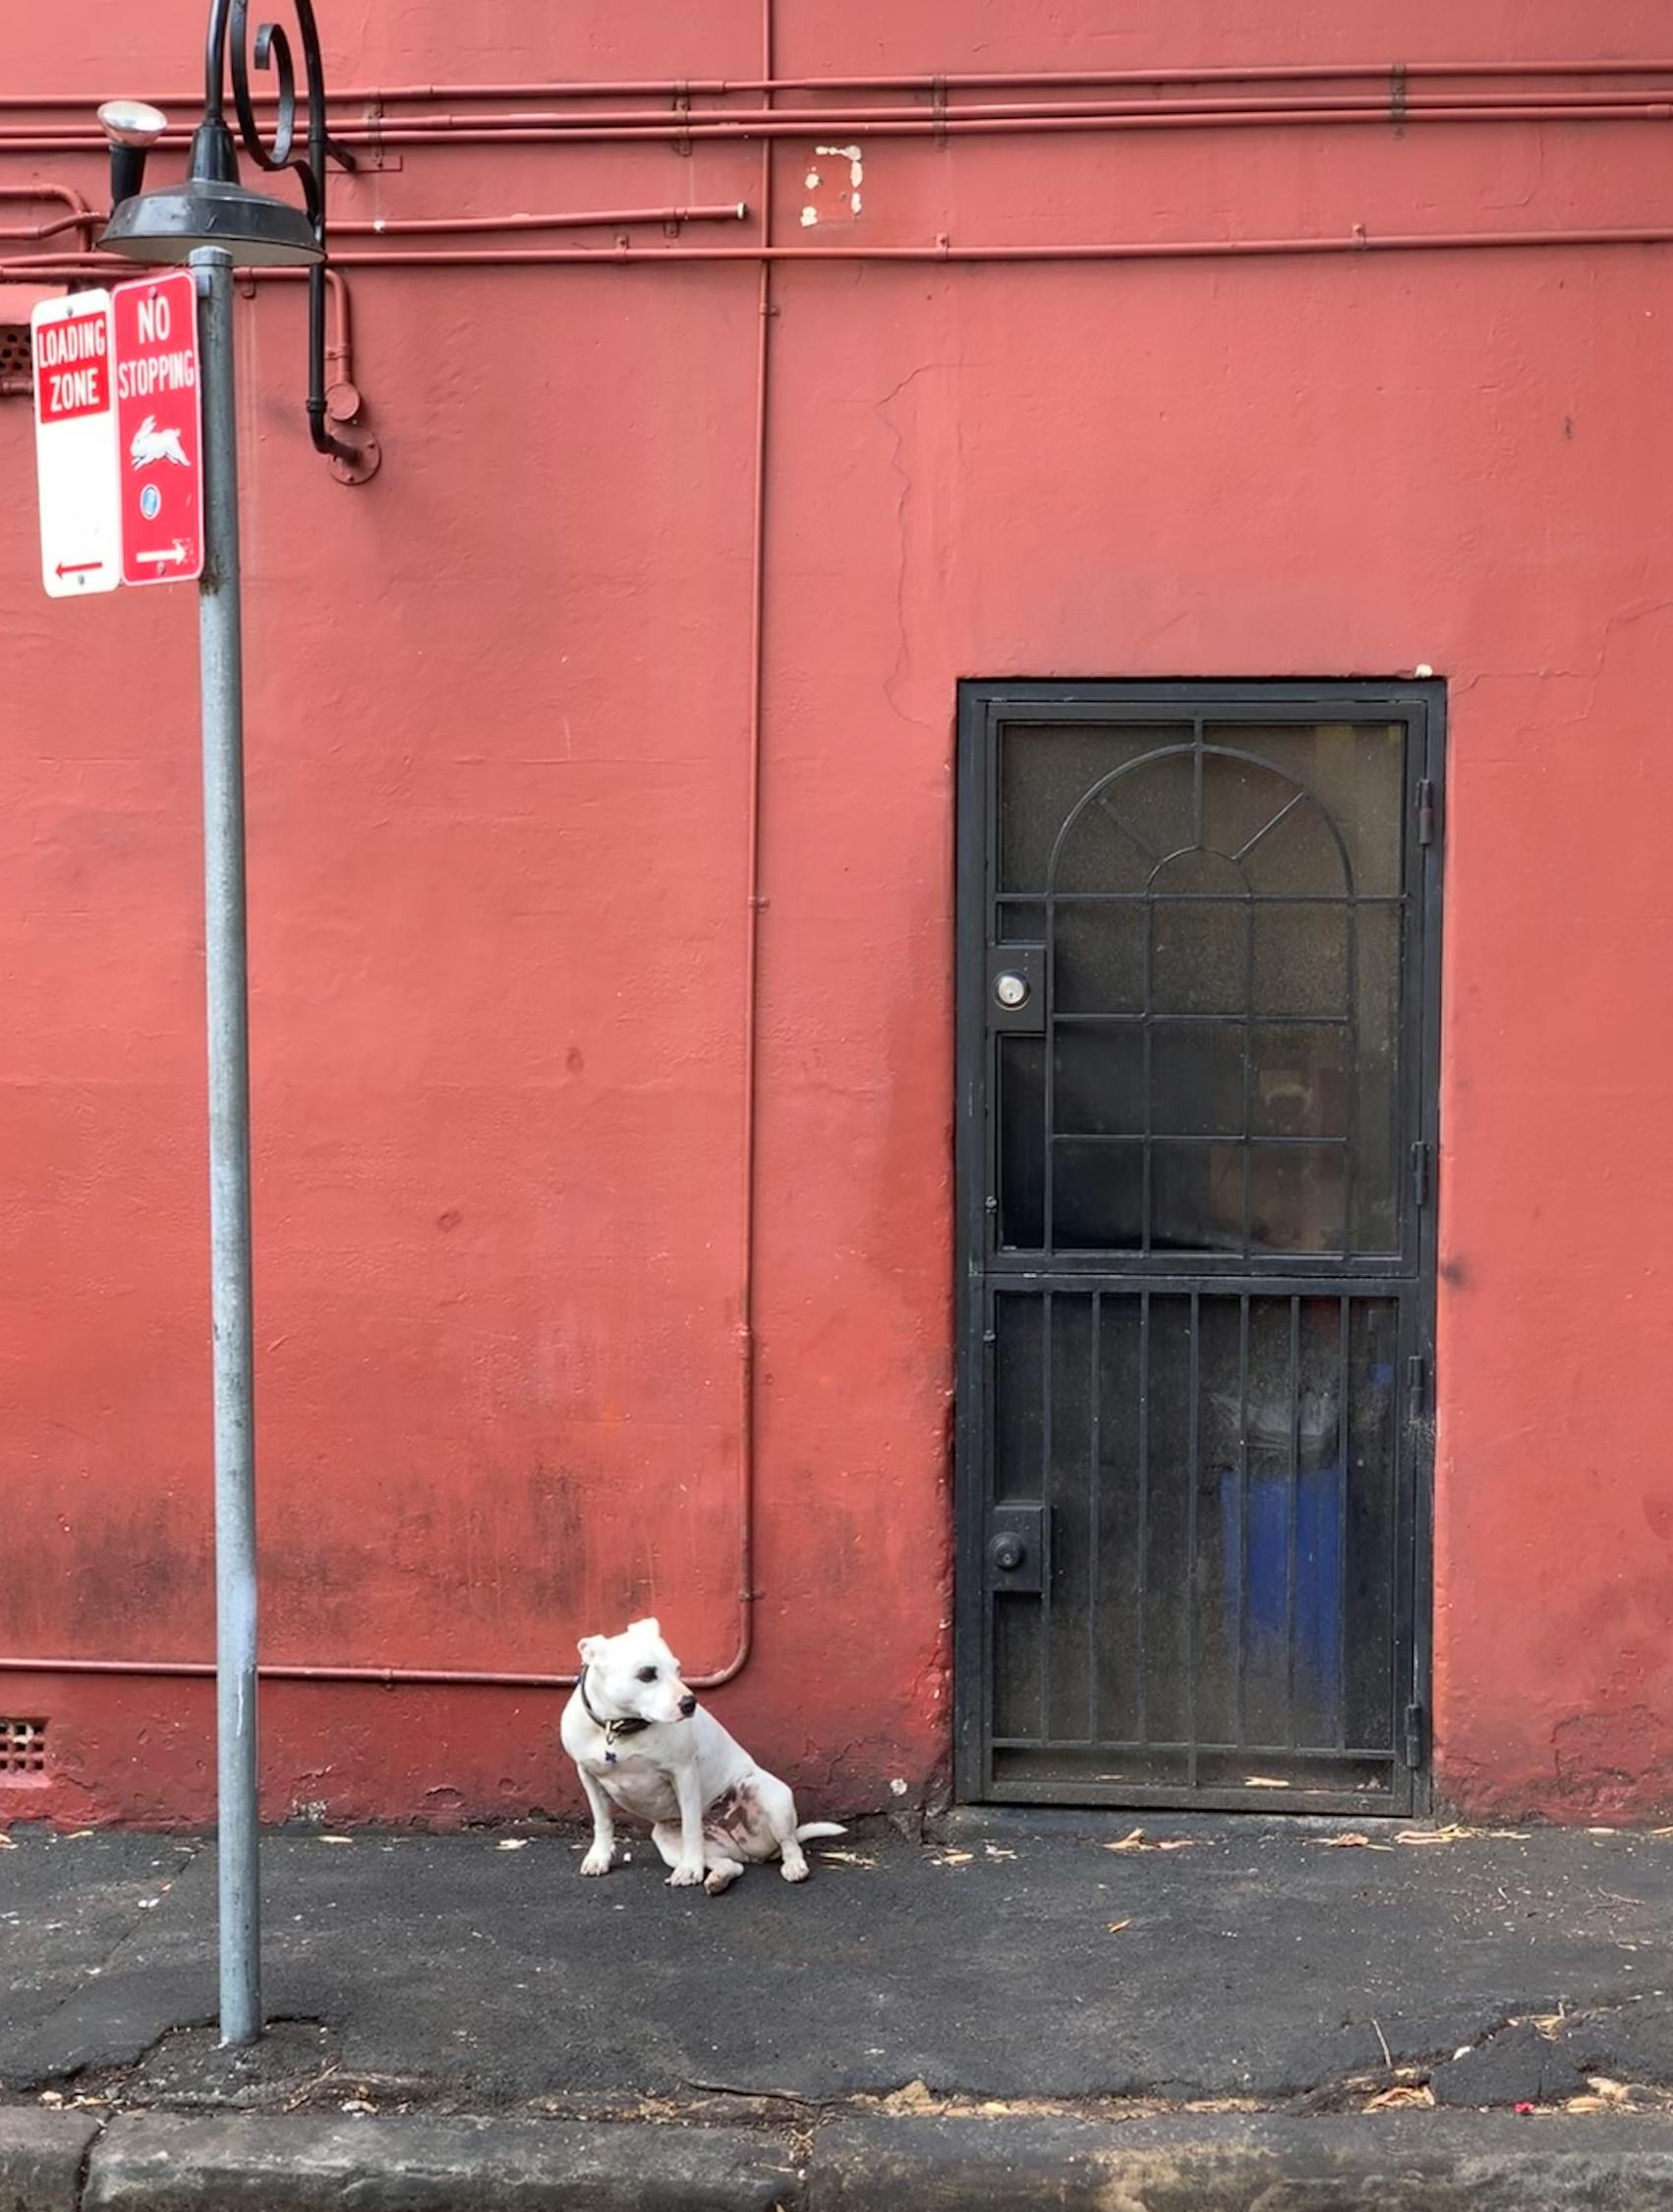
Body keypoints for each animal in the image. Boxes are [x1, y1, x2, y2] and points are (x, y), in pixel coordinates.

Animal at [561, 1619, 849, 1893]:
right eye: (646, 1674)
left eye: (678, 1669)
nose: (690, 1703)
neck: (617, 1727)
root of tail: (749, 1851)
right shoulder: (588, 1777)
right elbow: (603, 1821)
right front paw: (599, 1857)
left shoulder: (683, 1773)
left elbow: (691, 1828)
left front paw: (690, 1869)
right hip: (668, 1840)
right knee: (731, 1865)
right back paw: (717, 1879)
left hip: (768, 1795)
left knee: (790, 1843)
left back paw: (793, 1866)